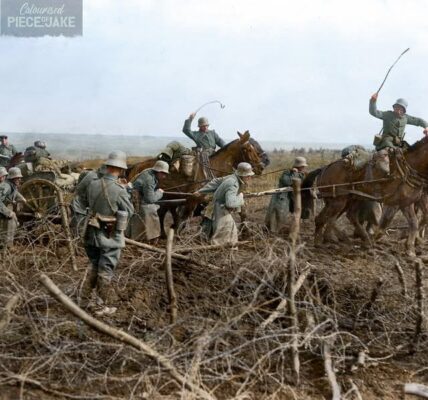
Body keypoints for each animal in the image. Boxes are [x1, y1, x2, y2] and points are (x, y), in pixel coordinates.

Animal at [125, 131, 270, 238]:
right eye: (247, 149)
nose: (261, 167)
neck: (213, 169)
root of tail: (136, 166)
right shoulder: (192, 199)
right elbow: (184, 218)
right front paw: (179, 237)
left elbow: (240, 211)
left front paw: (246, 231)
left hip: (166, 198)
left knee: (161, 213)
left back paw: (162, 235)